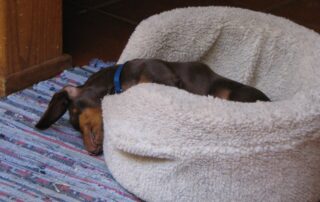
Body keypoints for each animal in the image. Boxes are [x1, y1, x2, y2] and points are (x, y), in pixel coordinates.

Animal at [35, 58, 270, 155]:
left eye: (75, 114)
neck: (120, 80)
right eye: (74, 127)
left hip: (236, 94)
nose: (91, 150)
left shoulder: (167, 79)